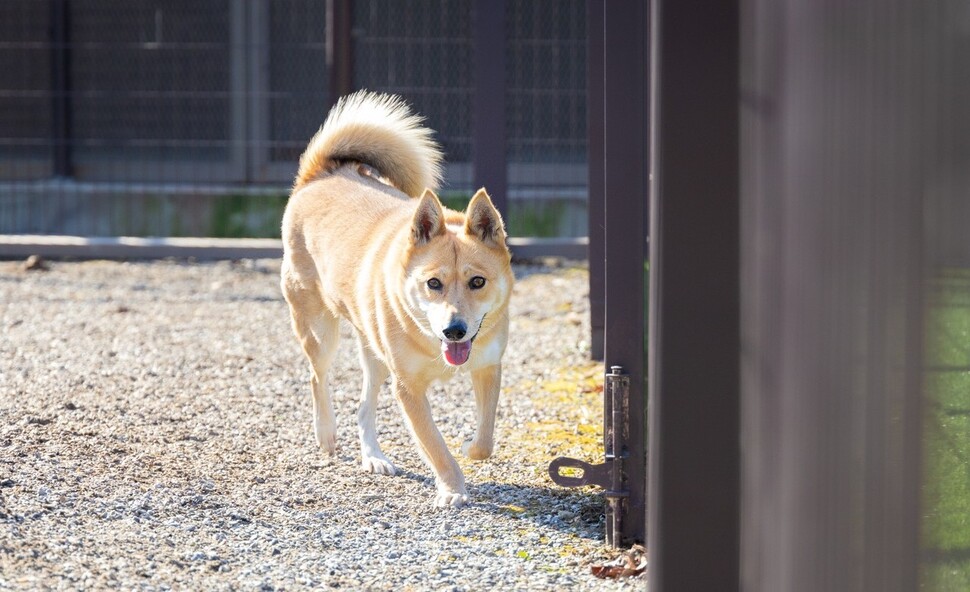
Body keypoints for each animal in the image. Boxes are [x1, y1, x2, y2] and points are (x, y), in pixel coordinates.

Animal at [278, 90, 516, 506]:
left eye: (478, 281)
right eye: (433, 283)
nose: (454, 331)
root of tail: (322, 173)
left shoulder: (489, 367)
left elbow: (485, 439)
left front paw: (470, 448)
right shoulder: (408, 388)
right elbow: (435, 446)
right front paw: (452, 488)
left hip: (374, 355)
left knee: (363, 406)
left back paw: (373, 456)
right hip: (320, 331)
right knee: (316, 377)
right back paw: (326, 434)